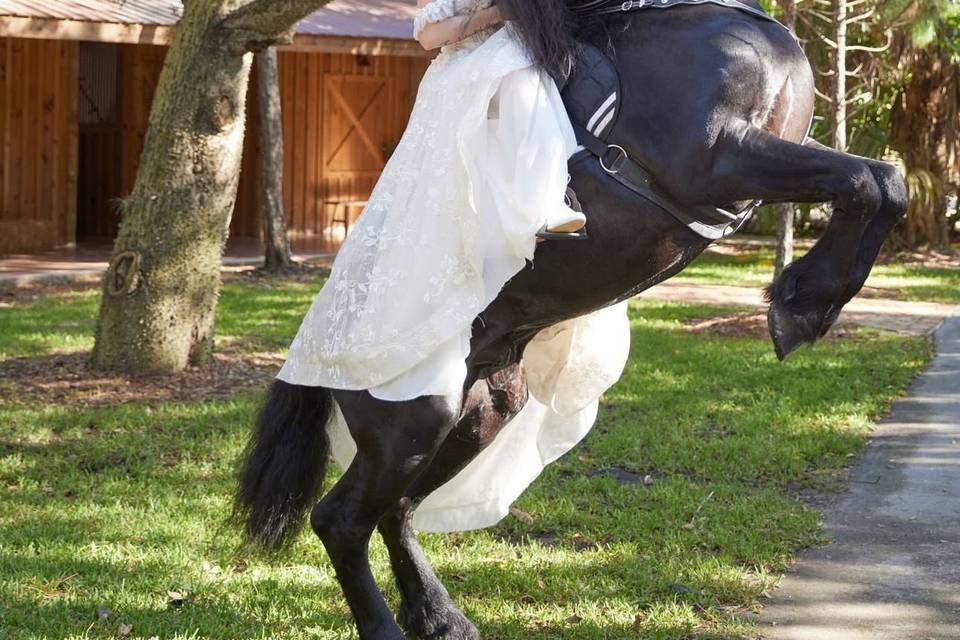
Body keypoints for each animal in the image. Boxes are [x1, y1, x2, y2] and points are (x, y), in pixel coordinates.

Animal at [234, 2, 908, 636]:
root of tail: (311, 354)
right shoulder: (718, 157)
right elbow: (866, 180)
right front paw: (801, 304)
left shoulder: (777, 150)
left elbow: (884, 179)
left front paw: (805, 303)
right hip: (414, 418)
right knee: (342, 519)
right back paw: (391, 627)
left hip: (479, 412)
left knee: (394, 512)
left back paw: (441, 618)